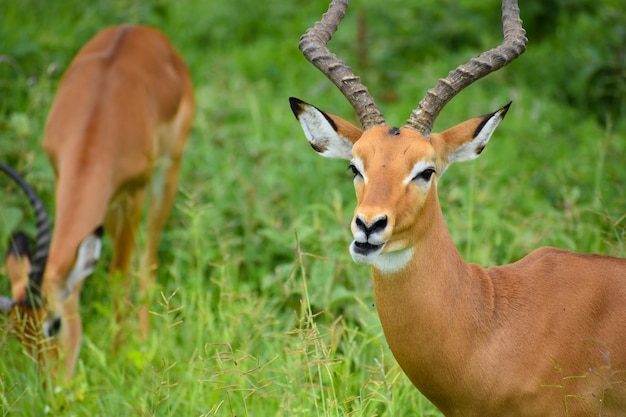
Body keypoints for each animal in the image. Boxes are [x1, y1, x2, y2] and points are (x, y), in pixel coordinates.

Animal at [0, 23, 193, 380]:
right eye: (20, 336)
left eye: (54, 324)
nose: (53, 386)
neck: (97, 123)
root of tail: (140, 29)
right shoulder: (63, 177)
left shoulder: (134, 193)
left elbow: (119, 276)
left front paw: (120, 355)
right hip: (110, 206)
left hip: (167, 172)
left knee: (146, 259)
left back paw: (144, 337)